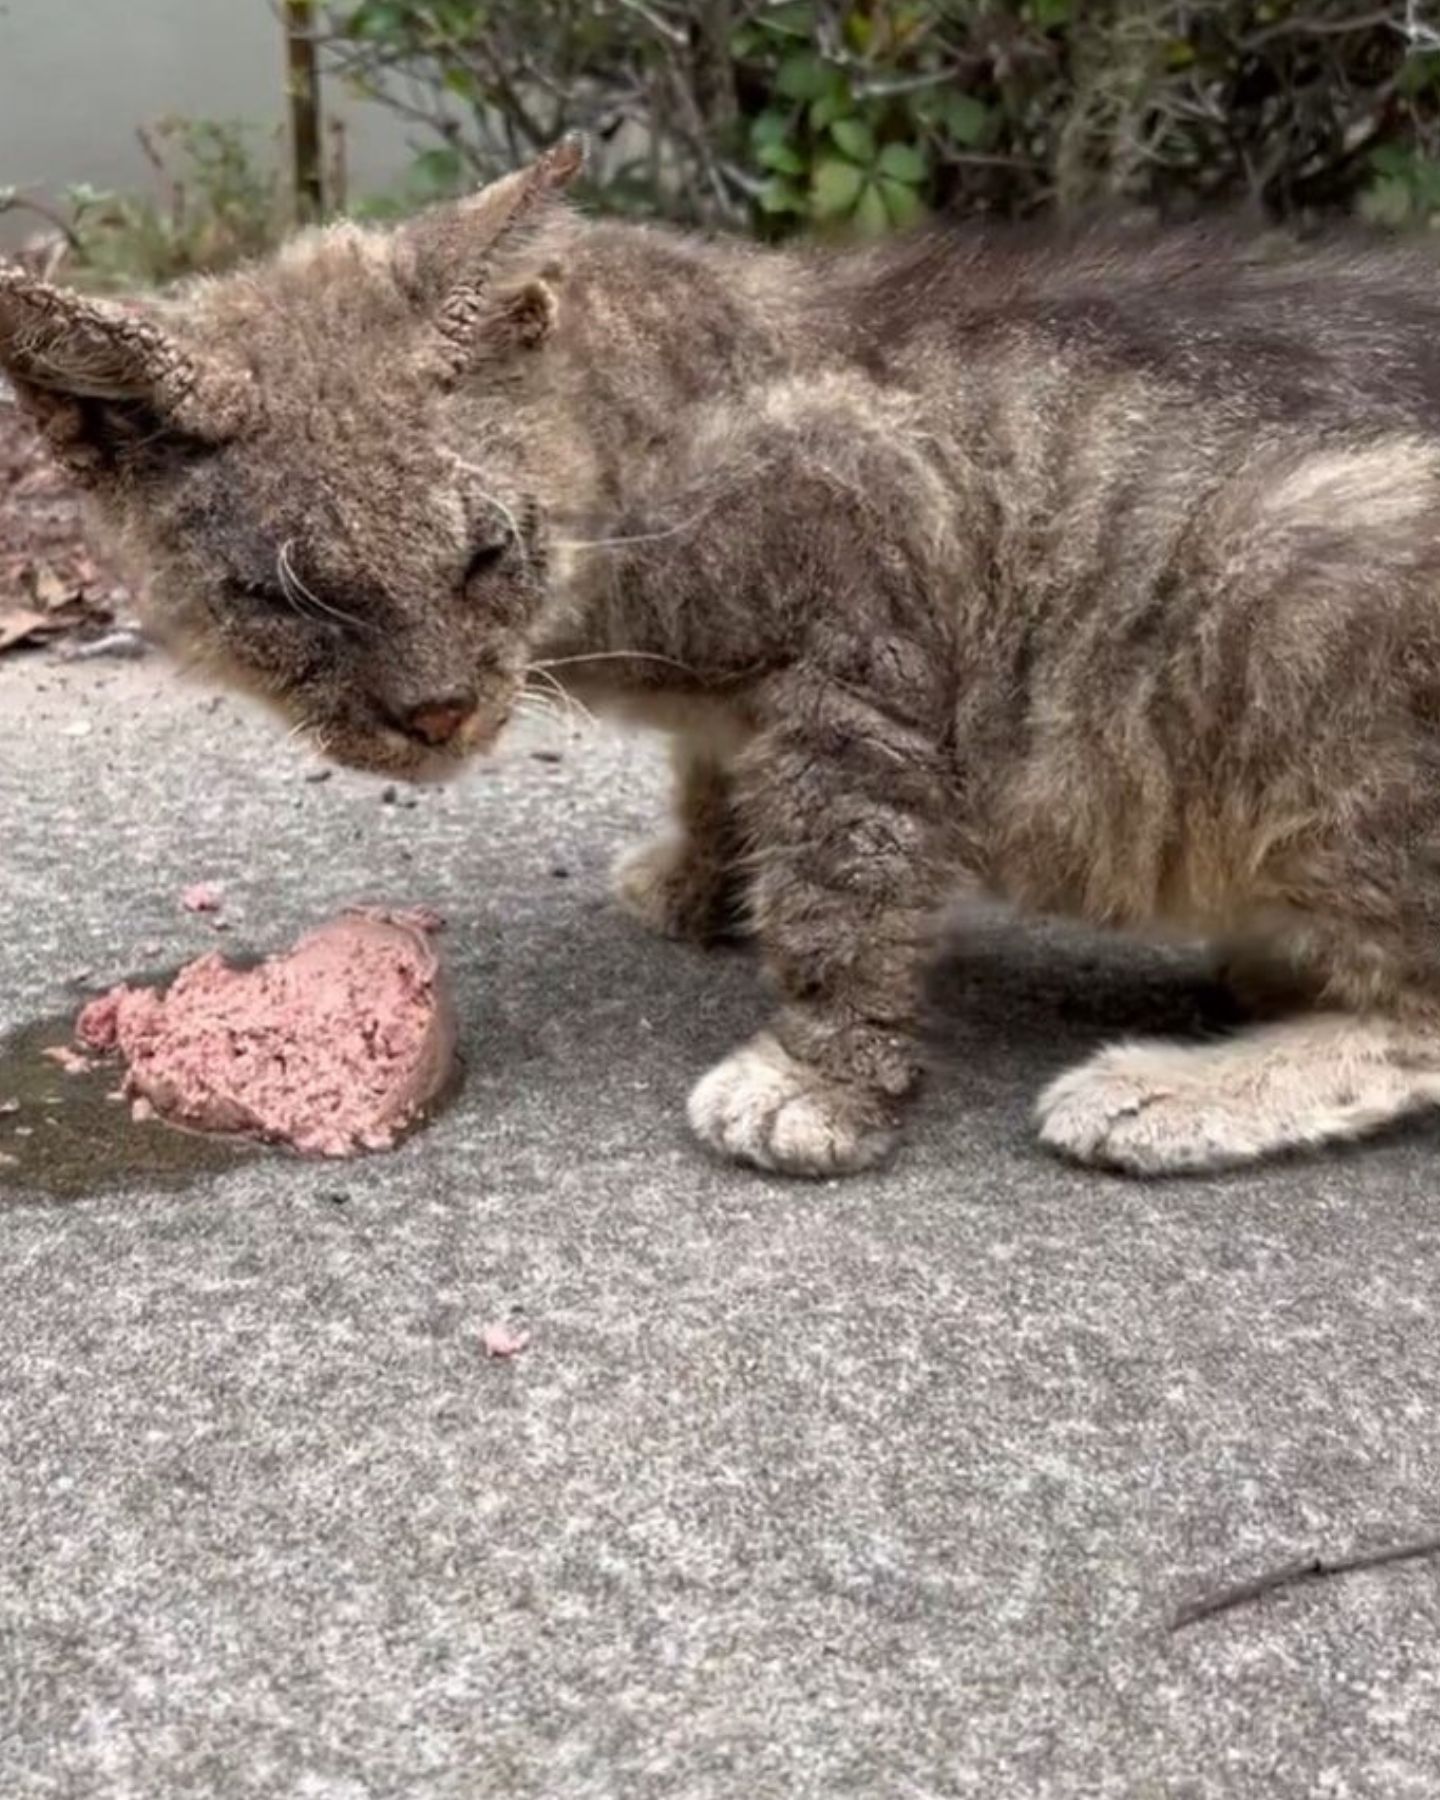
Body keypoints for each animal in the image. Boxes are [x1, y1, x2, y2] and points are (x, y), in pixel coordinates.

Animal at [8, 140, 1440, 1180]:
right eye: (275, 597)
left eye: (484, 552)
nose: (435, 713)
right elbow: (717, 780)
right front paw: (703, 877)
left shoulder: (866, 612)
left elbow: (840, 879)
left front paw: (818, 1078)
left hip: (1306, 588)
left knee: (1418, 1013)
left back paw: (1177, 1087)